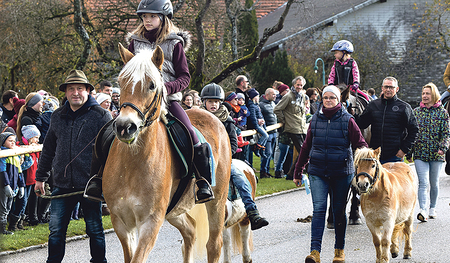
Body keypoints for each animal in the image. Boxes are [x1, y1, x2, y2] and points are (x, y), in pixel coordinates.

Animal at [103, 43, 232, 263]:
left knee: (214, 245)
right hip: (175, 210)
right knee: (190, 231)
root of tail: (211, 115)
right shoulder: (121, 222)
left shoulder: (151, 222)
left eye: (152, 85)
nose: (124, 127)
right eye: (120, 82)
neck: (131, 165)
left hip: (217, 199)